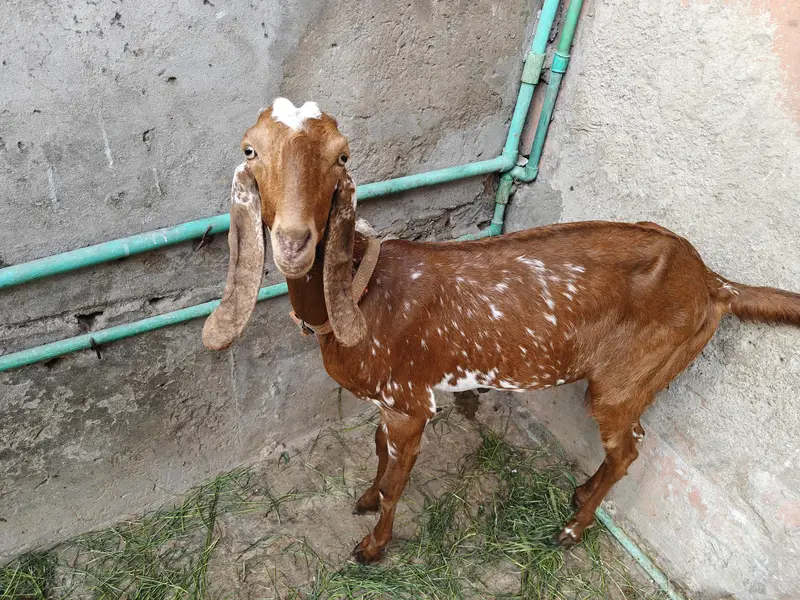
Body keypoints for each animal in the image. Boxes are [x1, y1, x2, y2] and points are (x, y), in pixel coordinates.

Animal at [202, 98, 800, 564]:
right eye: (250, 150)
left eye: (341, 155)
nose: (294, 242)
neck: (363, 291)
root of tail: (713, 283)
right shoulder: (386, 399)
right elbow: (376, 452)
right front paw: (365, 499)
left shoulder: (410, 402)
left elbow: (397, 480)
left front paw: (373, 546)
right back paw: (581, 494)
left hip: (628, 376)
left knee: (629, 447)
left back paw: (572, 529)